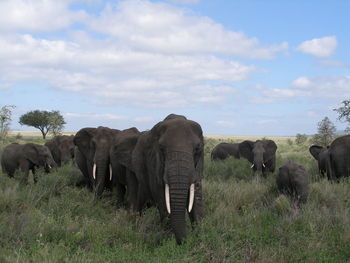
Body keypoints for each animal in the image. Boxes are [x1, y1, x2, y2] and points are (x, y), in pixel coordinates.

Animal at [133, 114, 204, 246]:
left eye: (197, 148)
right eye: (161, 148)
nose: (186, 241)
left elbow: (196, 197)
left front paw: (200, 235)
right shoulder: (153, 162)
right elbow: (161, 196)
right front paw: (168, 240)